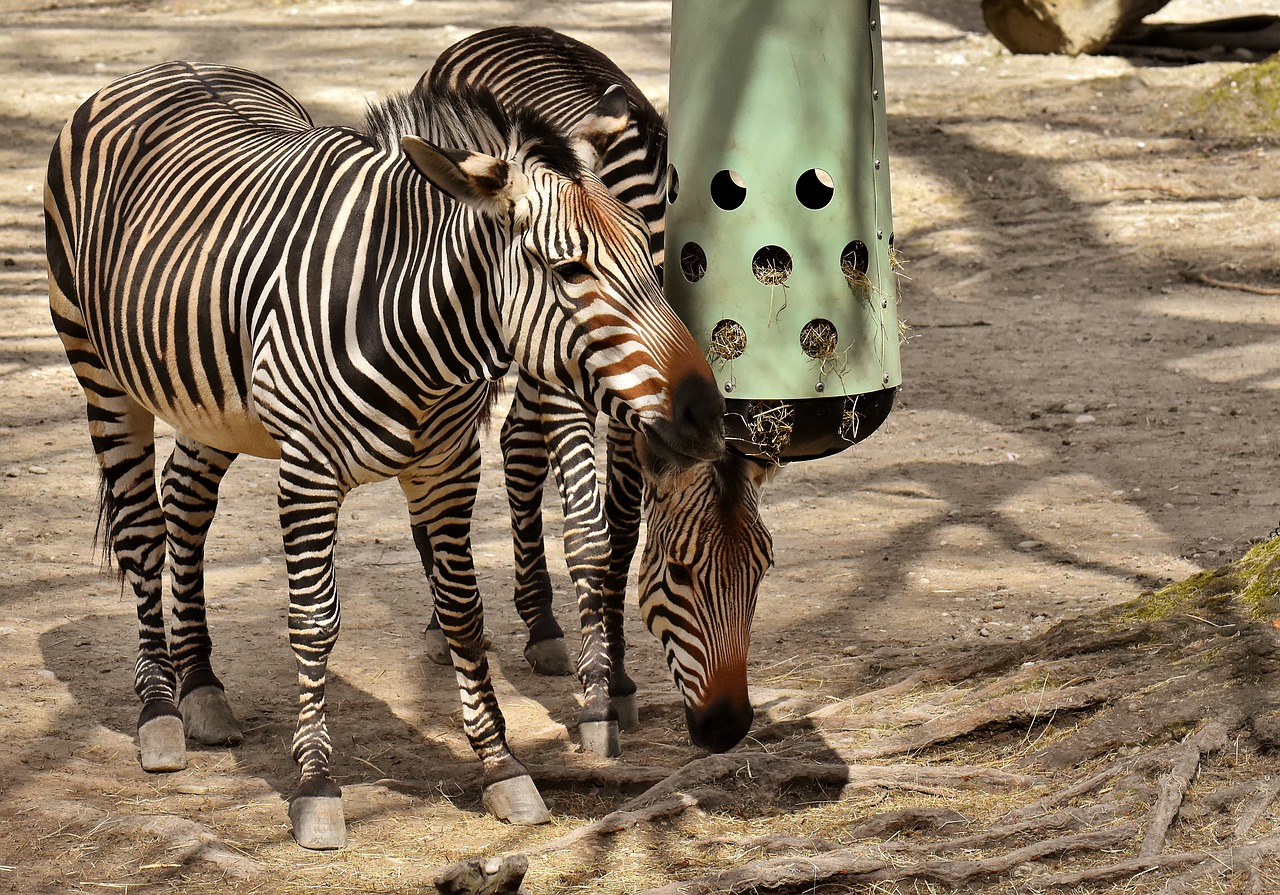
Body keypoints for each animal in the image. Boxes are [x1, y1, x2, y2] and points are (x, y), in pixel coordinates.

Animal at [45, 61, 727, 845]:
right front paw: (316, 786)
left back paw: (204, 690)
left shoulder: (448, 468)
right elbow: (315, 622)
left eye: (651, 257)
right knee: (141, 530)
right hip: (98, 371)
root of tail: (167, 68)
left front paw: (501, 766)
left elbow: (462, 612)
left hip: (211, 403)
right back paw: (159, 710)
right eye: (570, 270)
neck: (417, 331)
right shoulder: (307, 473)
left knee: (186, 502)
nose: (707, 416)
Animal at [427, 26, 778, 757]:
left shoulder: (644, 409)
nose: (728, 728)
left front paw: (614, 674)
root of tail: (501, 31)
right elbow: (589, 535)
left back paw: (540, 621)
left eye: (762, 571)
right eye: (679, 573)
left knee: (517, 443)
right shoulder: (576, 382)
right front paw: (595, 702)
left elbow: (618, 536)